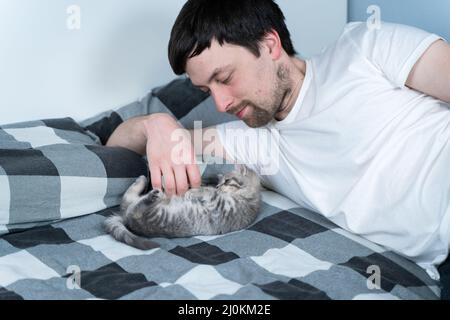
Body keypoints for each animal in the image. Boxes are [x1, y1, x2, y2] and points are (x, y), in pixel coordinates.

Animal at [103, 165, 262, 250]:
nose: (218, 186)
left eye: (227, 181)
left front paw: (194, 191)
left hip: (149, 216)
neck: (249, 198)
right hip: (134, 206)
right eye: (220, 182)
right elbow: (210, 191)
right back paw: (142, 179)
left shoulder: (223, 208)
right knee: (127, 198)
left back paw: (152, 195)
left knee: (135, 208)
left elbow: (210, 193)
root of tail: (125, 218)